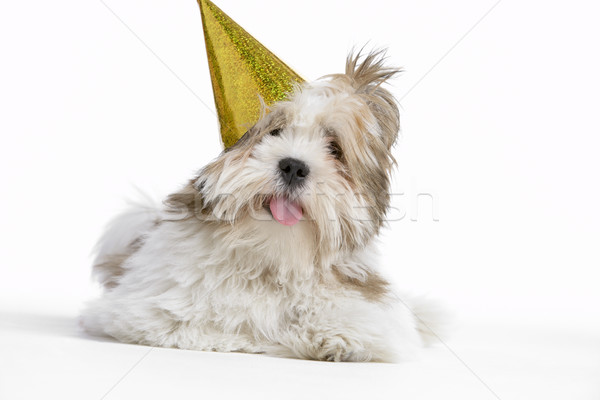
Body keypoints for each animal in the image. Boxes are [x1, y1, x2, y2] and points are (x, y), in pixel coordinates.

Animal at [81, 50, 446, 362]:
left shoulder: (378, 316)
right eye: (273, 132)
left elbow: (359, 329)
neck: (273, 252)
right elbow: (196, 321)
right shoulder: (146, 308)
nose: (294, 166)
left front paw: (330, 338)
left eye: (334, 148)